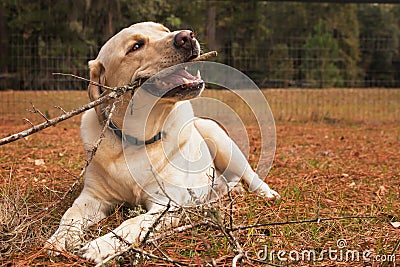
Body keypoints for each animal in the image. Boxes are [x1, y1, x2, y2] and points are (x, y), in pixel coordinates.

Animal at [46, 21, 278, 264]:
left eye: (164, 31)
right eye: (136, 46)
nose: (187, 36)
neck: (137, 139)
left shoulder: (166, 204)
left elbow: (132, 222)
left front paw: (99, 246)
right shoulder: (92, 197)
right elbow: (70, 215)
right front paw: (60, 239)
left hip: (219, 138)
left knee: (250, 175)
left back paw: (266, 193)